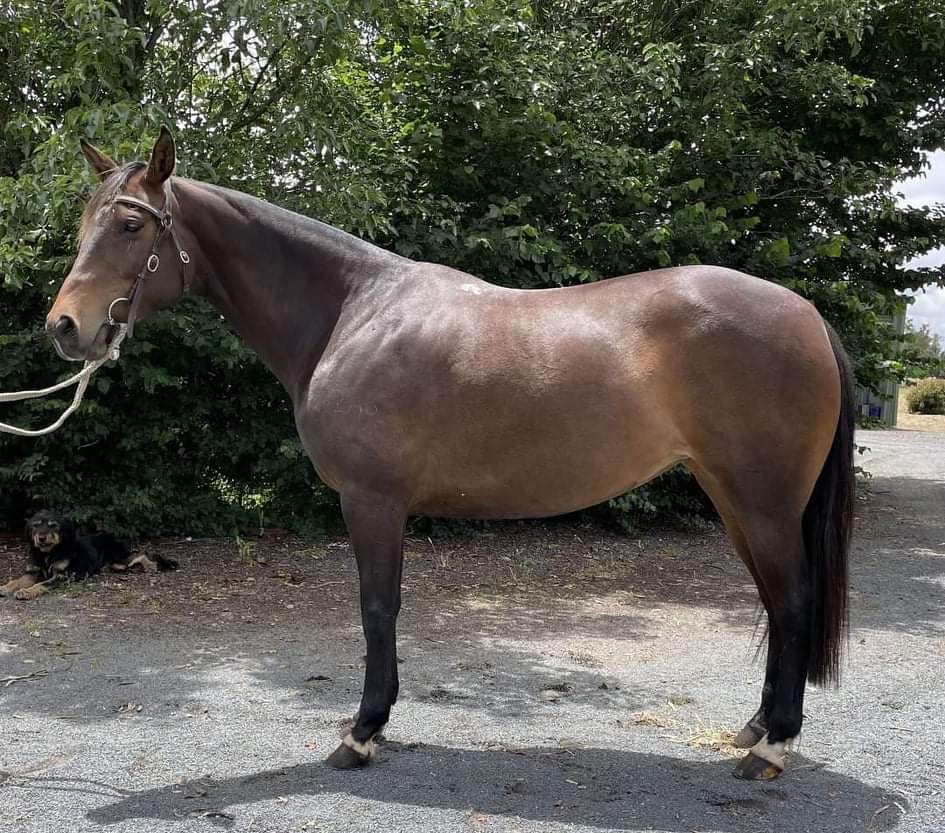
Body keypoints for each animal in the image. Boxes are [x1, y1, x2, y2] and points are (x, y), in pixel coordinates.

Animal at [0, 511, 177, 601]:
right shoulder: (32, 572)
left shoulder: (63, 576)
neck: (49, 553)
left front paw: (27, 592)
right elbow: (16, 581)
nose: (41, 538)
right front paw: (5, 587)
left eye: (53, 526)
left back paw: (151, 565)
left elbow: (41, 584)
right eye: (35, 526)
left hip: (118, 557)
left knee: (141, 553)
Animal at [46, 127, 853, 781]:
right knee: (775, 601)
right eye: (85, 222)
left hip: (762, 502)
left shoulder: (371, 500)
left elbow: (378, 607)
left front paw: (363, 732)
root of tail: (807, 314)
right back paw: (755, 729)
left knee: (793, 598)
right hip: (733, 498)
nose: (63, 327)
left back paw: (770, 748)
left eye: (128, 224)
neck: (352, 312)